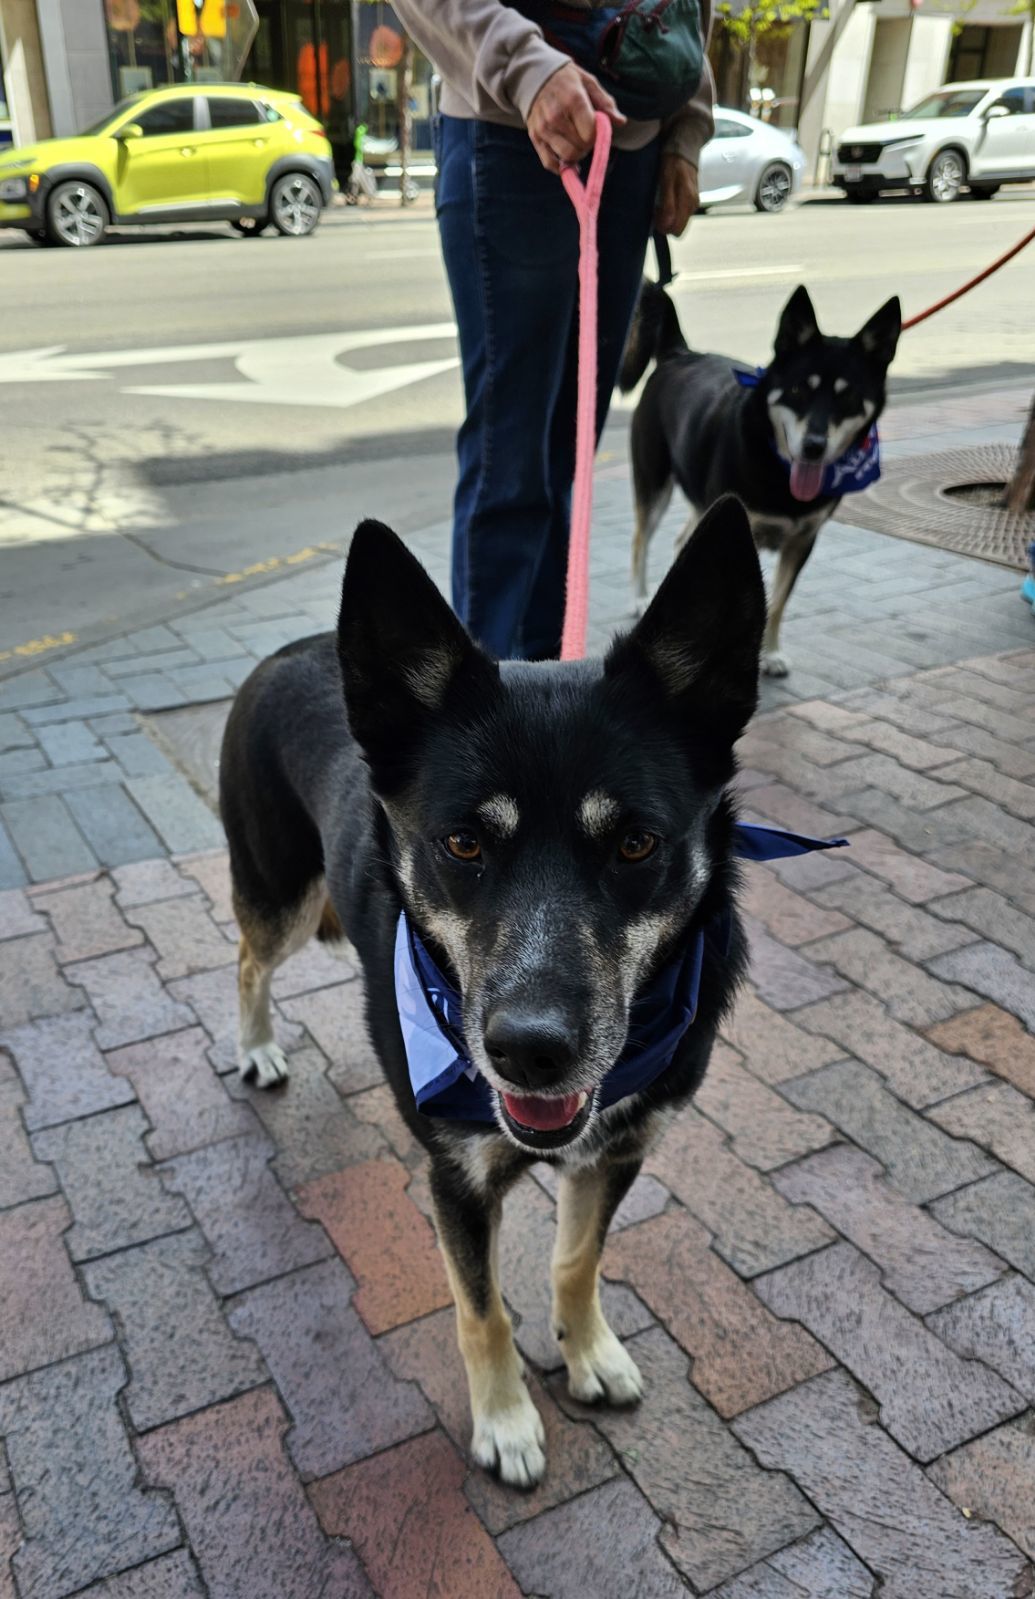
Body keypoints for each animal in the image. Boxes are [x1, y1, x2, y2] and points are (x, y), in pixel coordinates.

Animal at [220, 498, 767, 1483]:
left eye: (635, 843)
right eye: (464, 843)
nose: (530, 1051)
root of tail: (285, 652)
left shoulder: (617, 1151)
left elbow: (576, 1262)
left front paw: (588, 1351)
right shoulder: (458, 1181)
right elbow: (481, 1312)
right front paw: (506, 1420)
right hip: (281, 890)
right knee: (248, 957)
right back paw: (256, 1046)